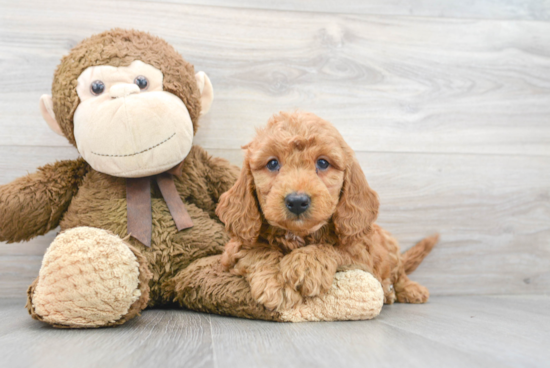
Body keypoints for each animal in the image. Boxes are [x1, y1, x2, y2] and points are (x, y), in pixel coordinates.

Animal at [216, 111, 440, 310]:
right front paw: (276, 282)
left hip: (390, 245)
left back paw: (409, 290)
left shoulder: (362, 250)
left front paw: (305, 264)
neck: (299, 235)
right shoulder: (232, 250)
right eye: (272, 163)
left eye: (323, 163)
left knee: (399, 273)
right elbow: (257, 250)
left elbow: (334, 248)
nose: (297, 201)